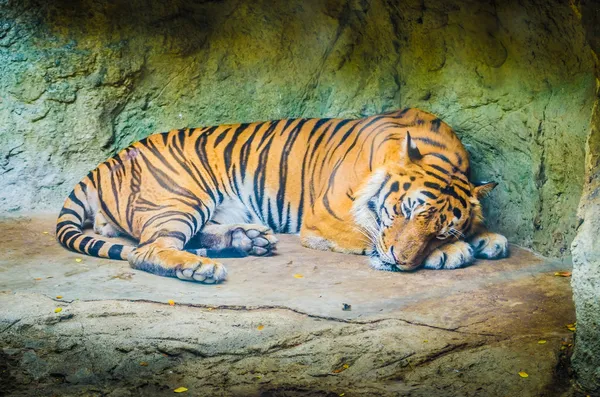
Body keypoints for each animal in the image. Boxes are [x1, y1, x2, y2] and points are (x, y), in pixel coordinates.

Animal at [55, 107, 506, 282]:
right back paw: (201, 267)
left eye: (440, 230)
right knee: (146, 249)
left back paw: (248, 240)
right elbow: (372, 234)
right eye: (406, 212)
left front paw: (485, 239)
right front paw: (455, 253)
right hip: (182, 195)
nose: (400, 260)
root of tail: (109, 160)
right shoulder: (325, 220)